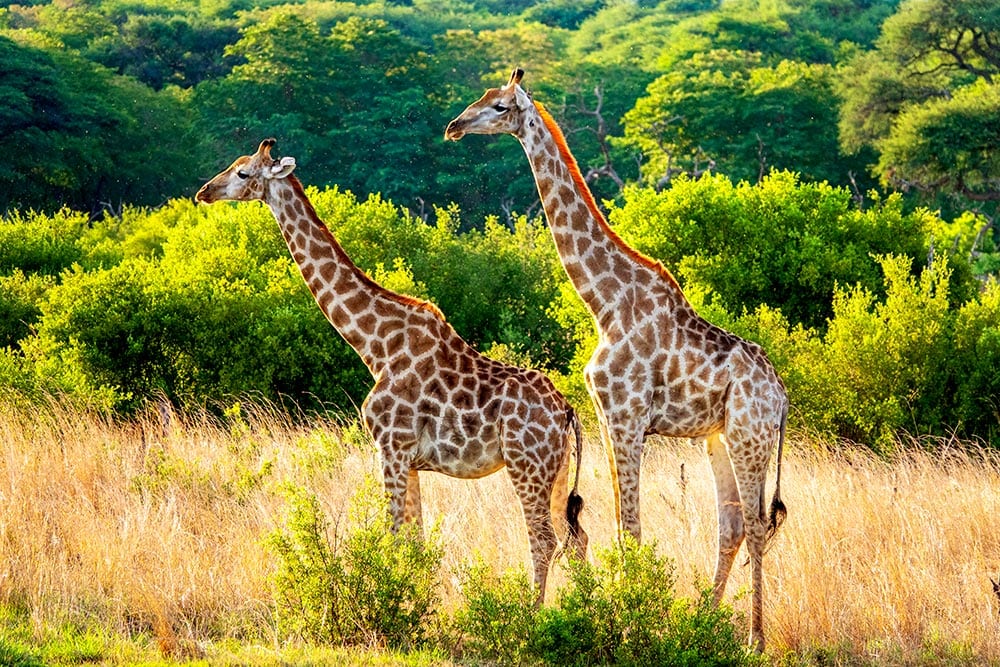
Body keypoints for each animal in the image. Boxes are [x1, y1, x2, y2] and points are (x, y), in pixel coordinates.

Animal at [195, 139, 588, 600]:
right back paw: (590, 603)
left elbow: (392, 535)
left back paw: (533, 610)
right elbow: (416, 541)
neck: (374, 345)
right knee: (575, 536)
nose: (204, 191)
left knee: (543, 538)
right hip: (556, 471)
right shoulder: (411, 460)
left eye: (242, 173)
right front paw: (420, 604)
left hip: (527, 464)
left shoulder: (391, 448)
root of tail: (567, 412)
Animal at [446, 69, 787, 650]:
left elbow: (632, 527)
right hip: (718, 437)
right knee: (735, 524)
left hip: (750, 436)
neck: (603, 302)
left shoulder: (628, 416)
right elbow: (620, 525)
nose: (453, 127)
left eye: (498, 107)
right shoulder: (606, 418)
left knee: (760, 524)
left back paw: (754, 640)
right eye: (482, 99)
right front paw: (626, 616)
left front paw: (632, 623)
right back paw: (705, 620)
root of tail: (782, 397)